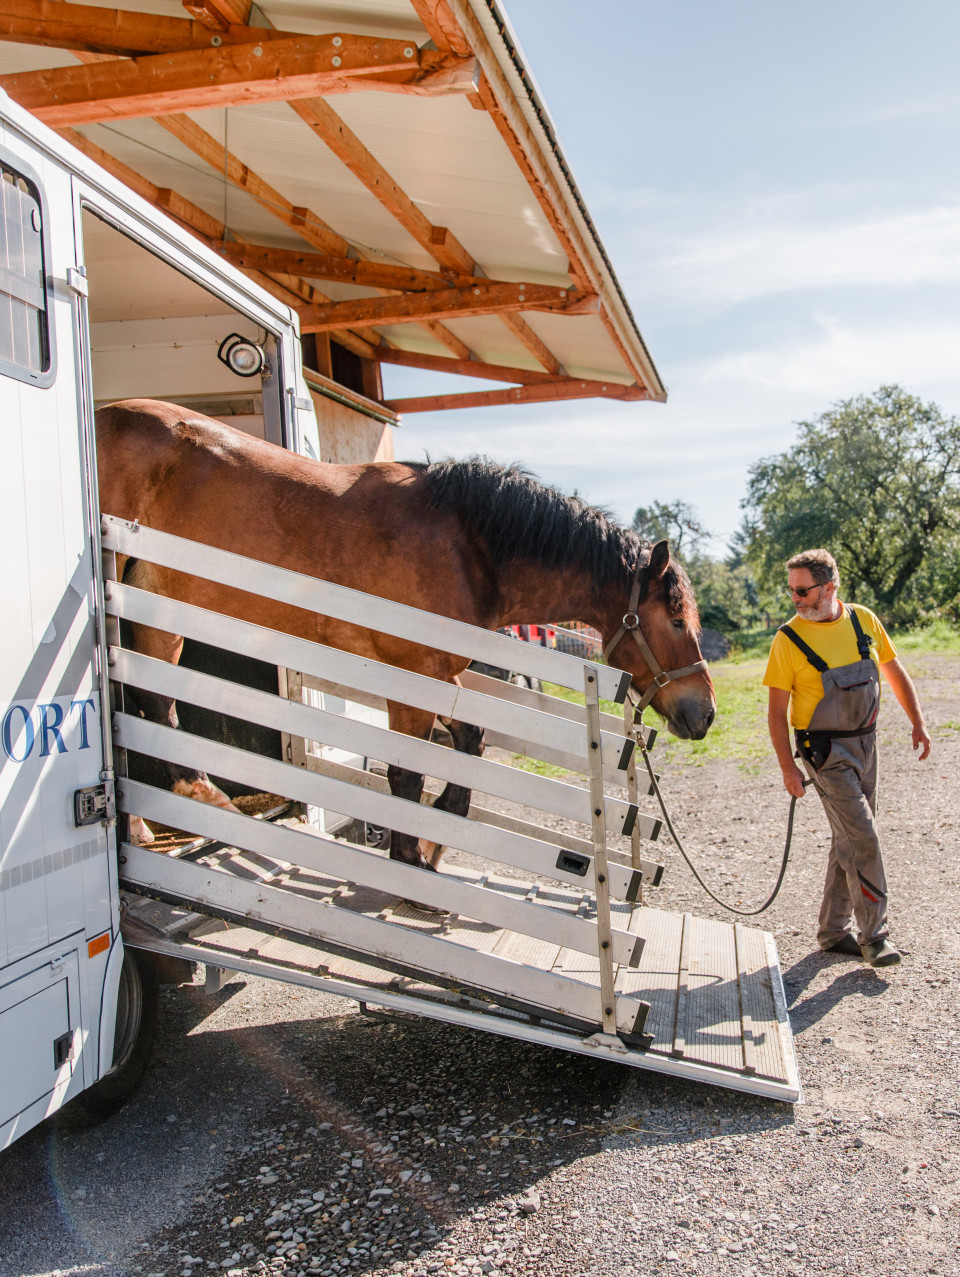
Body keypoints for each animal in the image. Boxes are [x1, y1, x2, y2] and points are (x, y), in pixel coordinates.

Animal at [97, 398, 714, 868]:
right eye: (676, 619)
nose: (704, 713)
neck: (470, 546)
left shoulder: (438, 675)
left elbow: (469, 742)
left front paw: (440, 828)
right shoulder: (412, 675)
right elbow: (406, 774)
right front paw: (410, 860)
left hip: (160, 609)